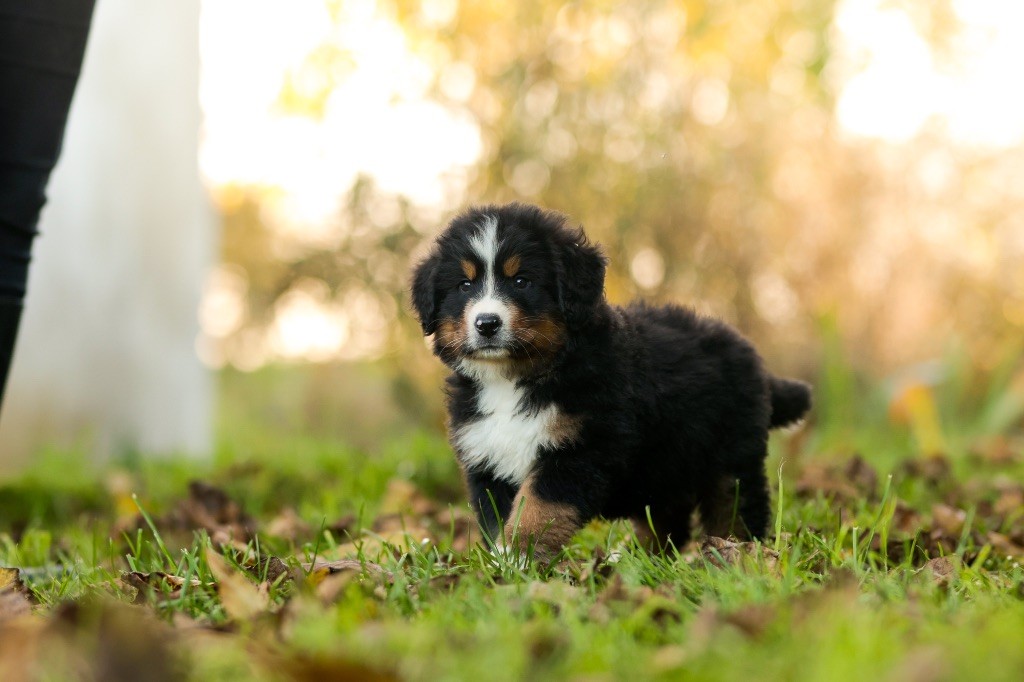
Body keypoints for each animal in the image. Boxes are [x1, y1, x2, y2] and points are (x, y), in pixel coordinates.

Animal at [407, 201, 806, 557]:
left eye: (522, 281)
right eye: (464, 286)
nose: (487, 323)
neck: (515, 378)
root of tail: (745, 349)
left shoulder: (580, 448)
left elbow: (538, 507)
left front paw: (520, 555)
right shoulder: (487, 457)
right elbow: (497, 518)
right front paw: (502, 564)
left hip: (729, 454)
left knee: (736, 504)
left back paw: (738, 552)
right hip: (664, 465)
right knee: (668, 517)